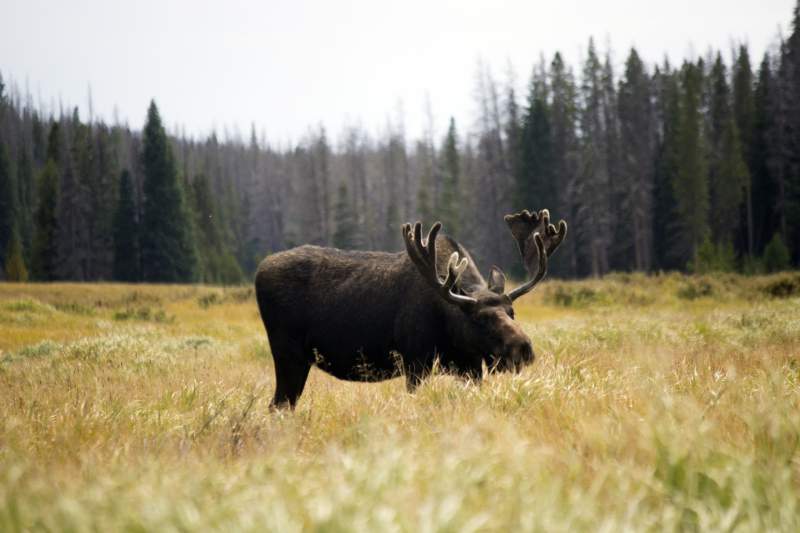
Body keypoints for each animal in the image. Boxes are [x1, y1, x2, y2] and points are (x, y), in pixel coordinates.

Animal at [256, 208, 568, 408]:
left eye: (512, 312)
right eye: (479, 319)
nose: (523, 348)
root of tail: (260, 270)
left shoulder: (470, 366)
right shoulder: (415, 361)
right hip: (288, 355)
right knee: (279, 404)